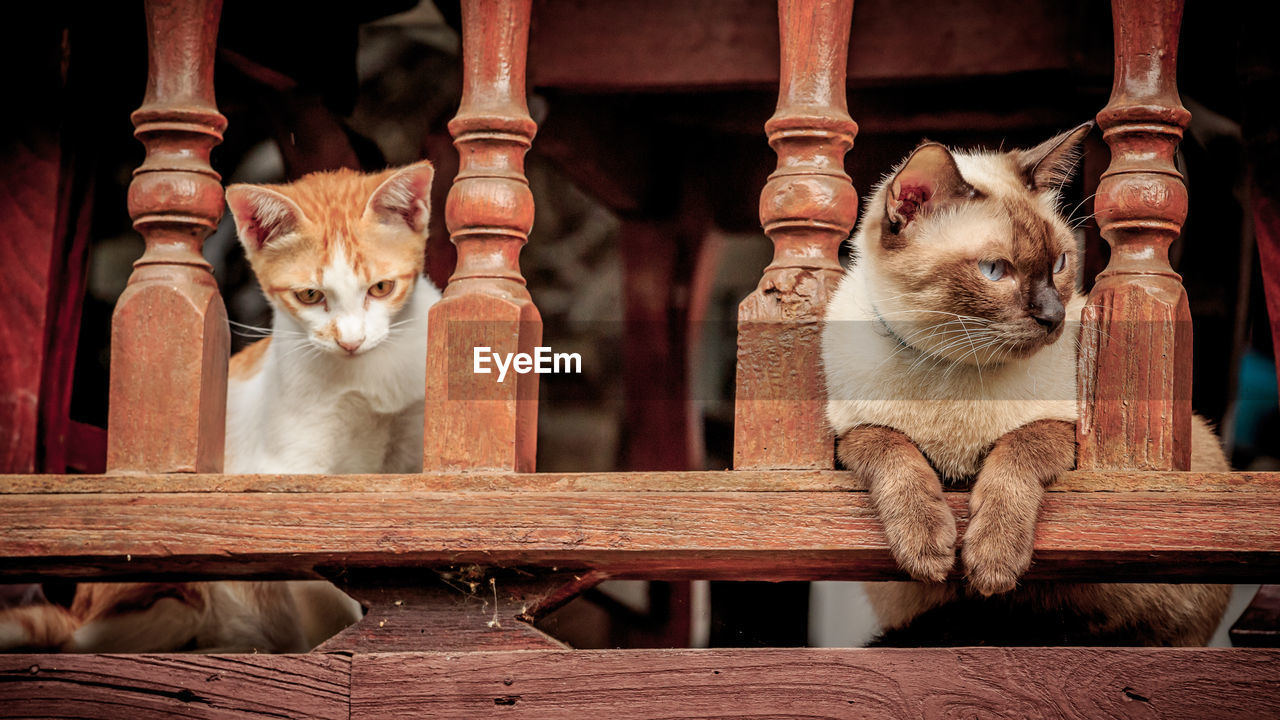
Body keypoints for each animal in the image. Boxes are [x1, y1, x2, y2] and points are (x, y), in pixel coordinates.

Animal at [1, 161, 440, 650]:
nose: (350, 341)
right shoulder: (289, 474)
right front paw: (339, 638)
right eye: (310, 296)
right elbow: (321, 585)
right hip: (166, 598)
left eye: (381, 288)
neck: (369, 378)